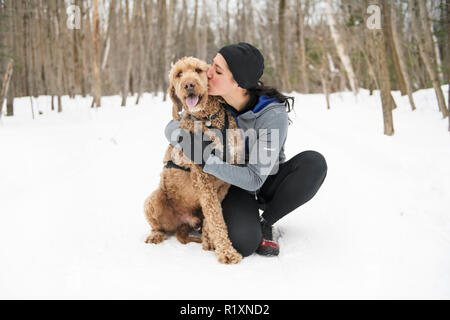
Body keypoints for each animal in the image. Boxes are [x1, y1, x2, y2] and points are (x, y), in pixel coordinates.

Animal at [144, 56, 244, 264]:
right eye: (178, 74)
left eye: (198, 70)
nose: (188, 84)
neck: (208, 120)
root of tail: (183, 222)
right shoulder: (203, 180)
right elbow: (216, 218)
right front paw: (227, 252)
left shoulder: (223, 184)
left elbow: (212, 216)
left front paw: (209, 241)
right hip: (152, 200)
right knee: (158, 226)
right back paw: (155, 235)